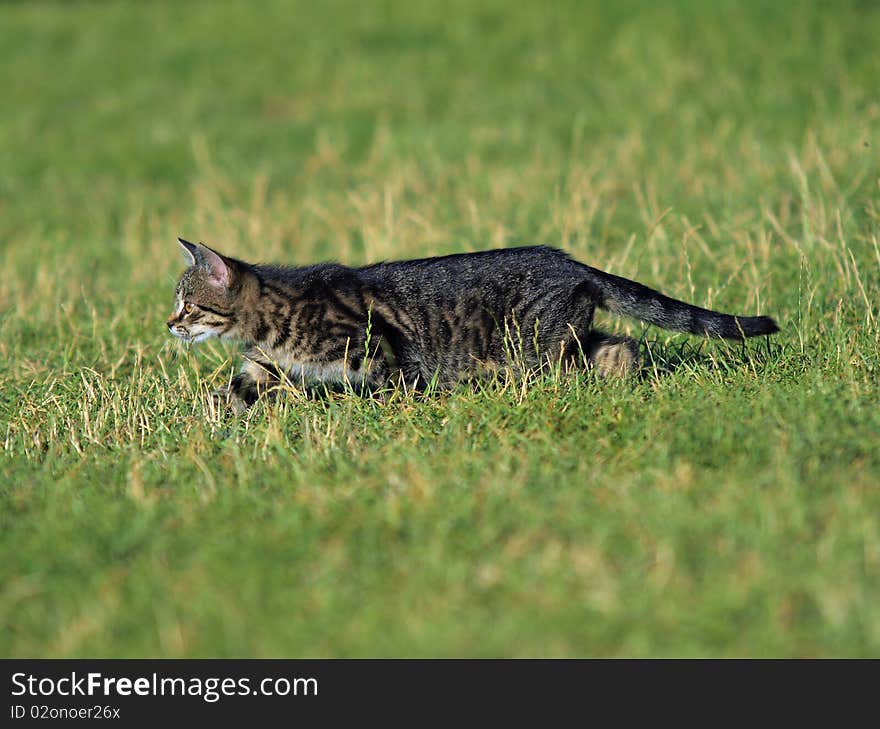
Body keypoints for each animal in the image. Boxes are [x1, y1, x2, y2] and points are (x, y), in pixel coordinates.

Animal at [165, 239, 776, 410]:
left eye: (189, 305)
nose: (170, 324)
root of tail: (573, 263)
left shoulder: (376, 348)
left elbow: (392, 388)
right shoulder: (261, 365)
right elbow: (232, 392)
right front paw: (206, 423)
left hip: (539, 347)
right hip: (571, 337)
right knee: (621, 346)